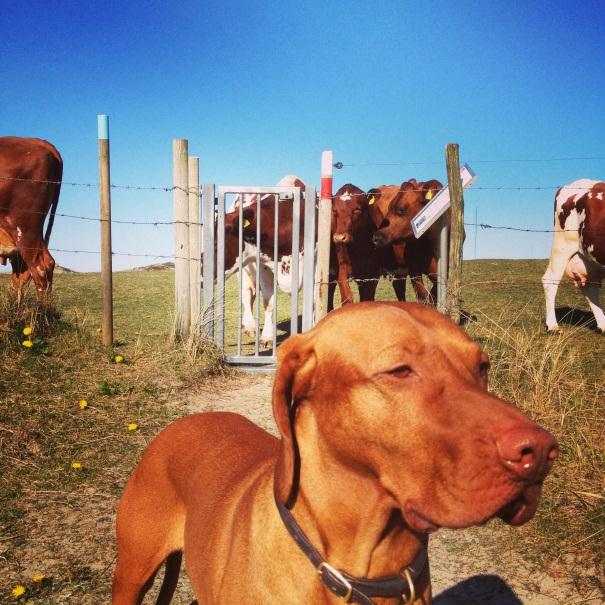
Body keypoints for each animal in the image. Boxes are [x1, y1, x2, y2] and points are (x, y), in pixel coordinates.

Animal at [112, 302, 556, 604]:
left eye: (482, 367)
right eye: (400, 371)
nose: (541, 451)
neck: (368, 565)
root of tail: (182, 422)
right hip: (131, 573)